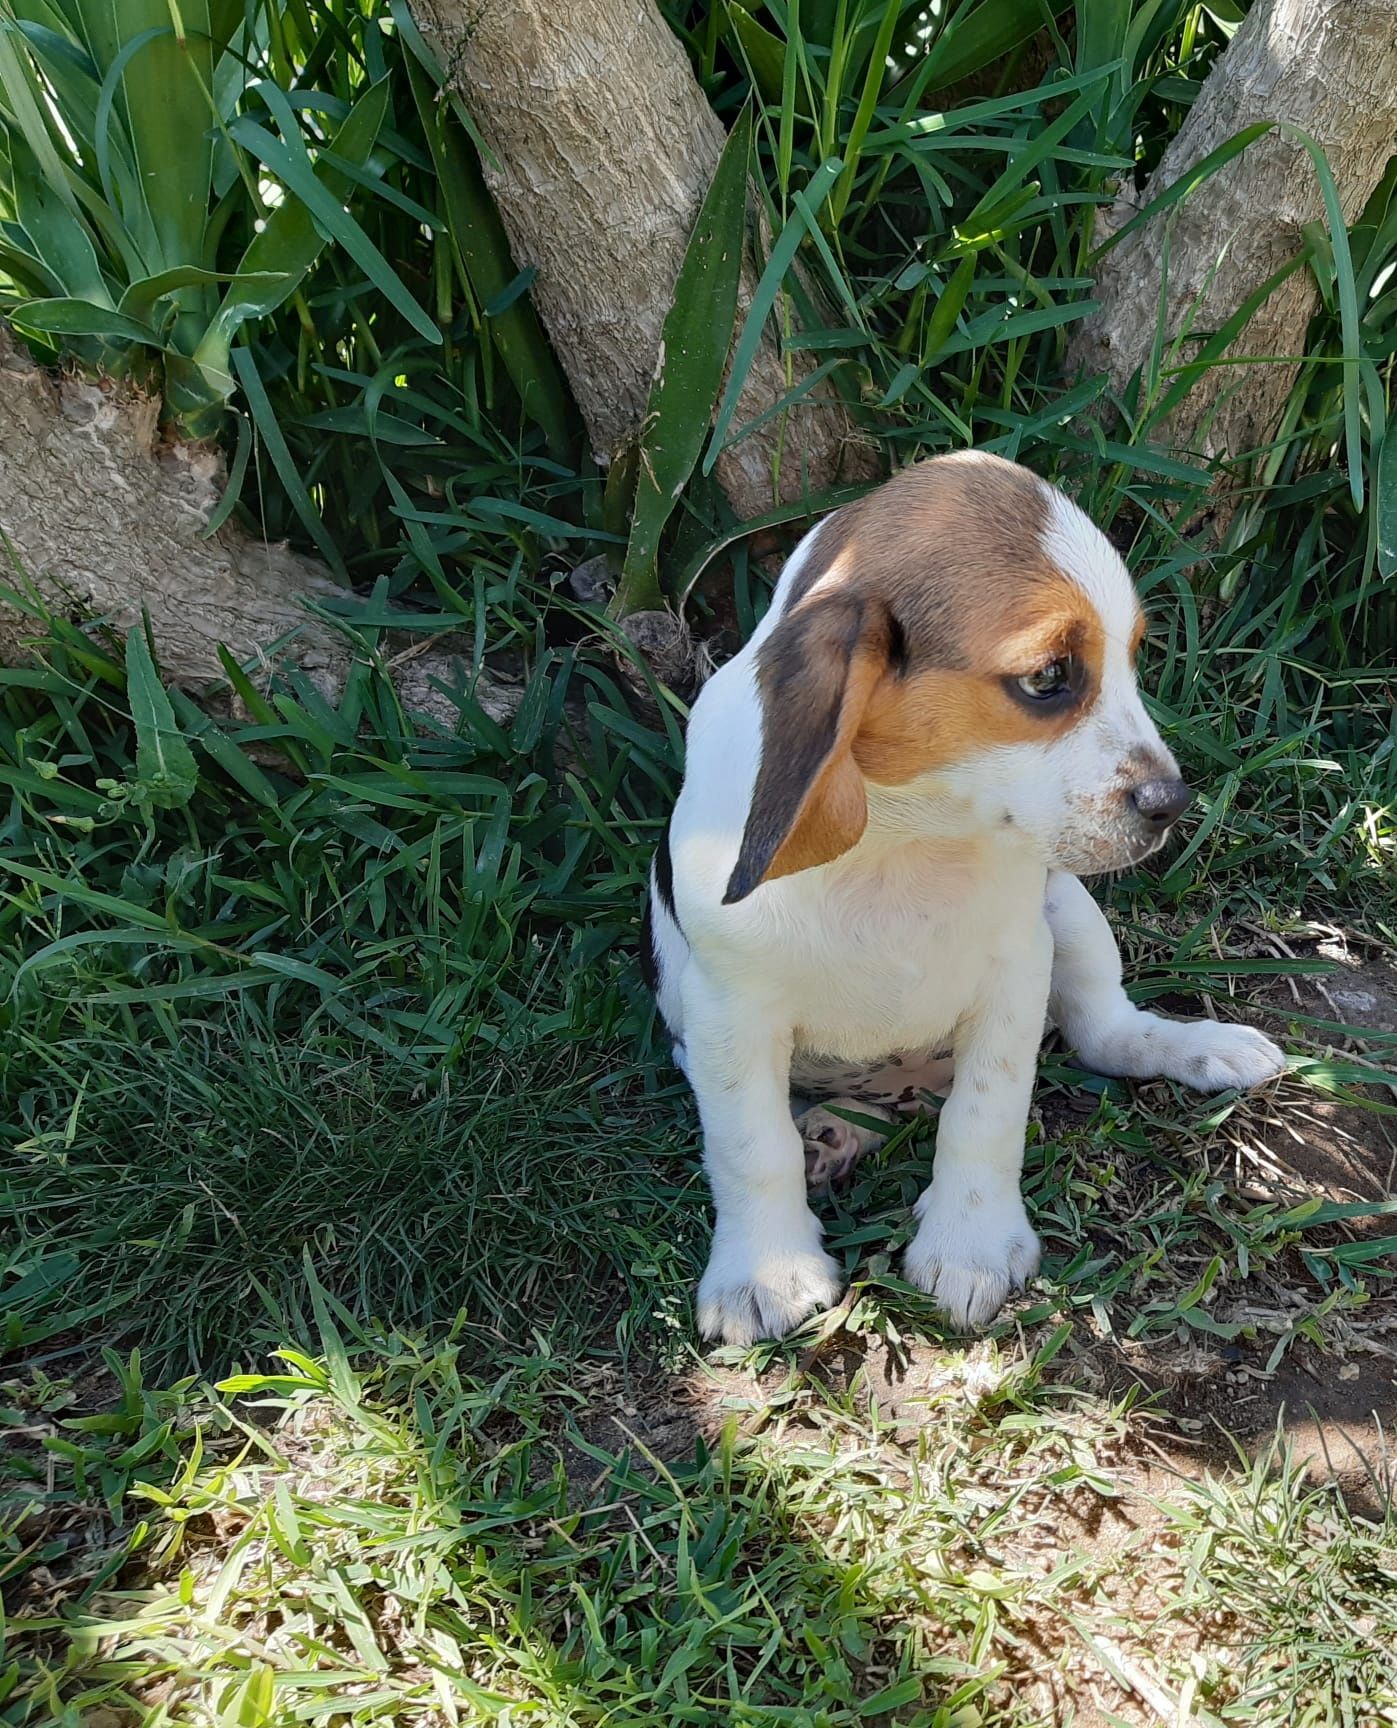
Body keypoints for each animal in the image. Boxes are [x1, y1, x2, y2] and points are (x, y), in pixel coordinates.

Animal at [643, 452, 1286, 1340]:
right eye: (1048, 677)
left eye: (1133, 657)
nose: (1171, 804)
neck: (904, 834)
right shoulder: (725, 1013)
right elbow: (750, 1147)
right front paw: (762, 1272)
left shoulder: (1014, 974)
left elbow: (985, 1116)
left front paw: (969, 1243)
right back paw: (827, 1136)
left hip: (1069, 914)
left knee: (1101, 1032)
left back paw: (1195, 1047)